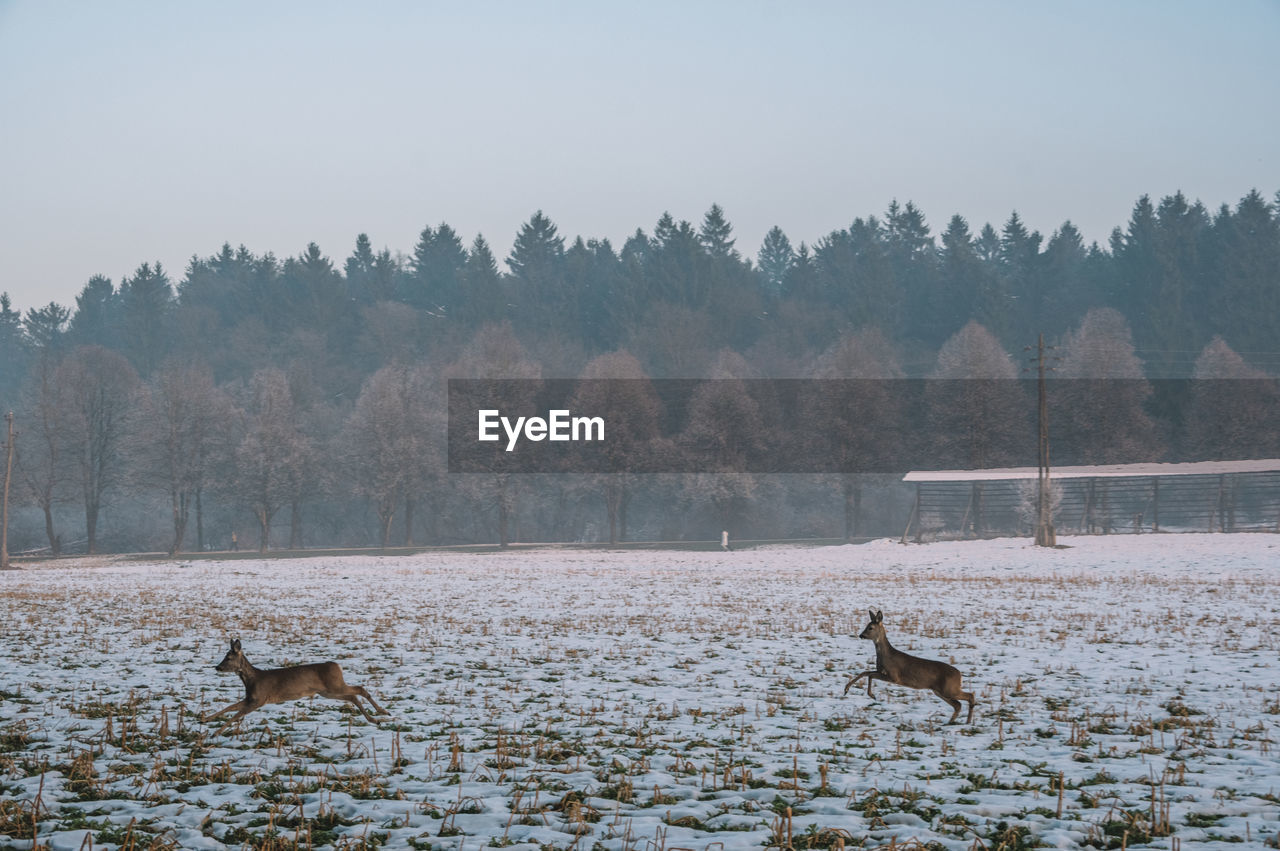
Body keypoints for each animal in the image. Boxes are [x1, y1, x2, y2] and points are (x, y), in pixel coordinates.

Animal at [199, 634, 386, 731]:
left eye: (228, 658)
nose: (217, 667)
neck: (253, 680)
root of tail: (337, 666)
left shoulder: (259, 699)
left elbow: (236, 715)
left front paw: (215, 733)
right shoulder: (250, 698)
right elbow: (229, 707)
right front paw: (204, 719)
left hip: (334, 686)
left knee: (358, 689)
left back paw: (380, 714)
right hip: (327, 691)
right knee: (353, 695)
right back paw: (378, 717)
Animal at [844, 606, 972, 721]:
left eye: (870, 627)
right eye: (866, 626)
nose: (861, 635)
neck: (886, 656)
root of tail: (959, 675)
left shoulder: (894, 676)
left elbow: (870, 675)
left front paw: (872, 695)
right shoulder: (881, 671)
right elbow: (865, 672)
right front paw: (846, 689)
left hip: (949, 689)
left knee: (970, 696)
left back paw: (967, 722)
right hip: (939, 691)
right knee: (958, 705)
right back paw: (953, 723)